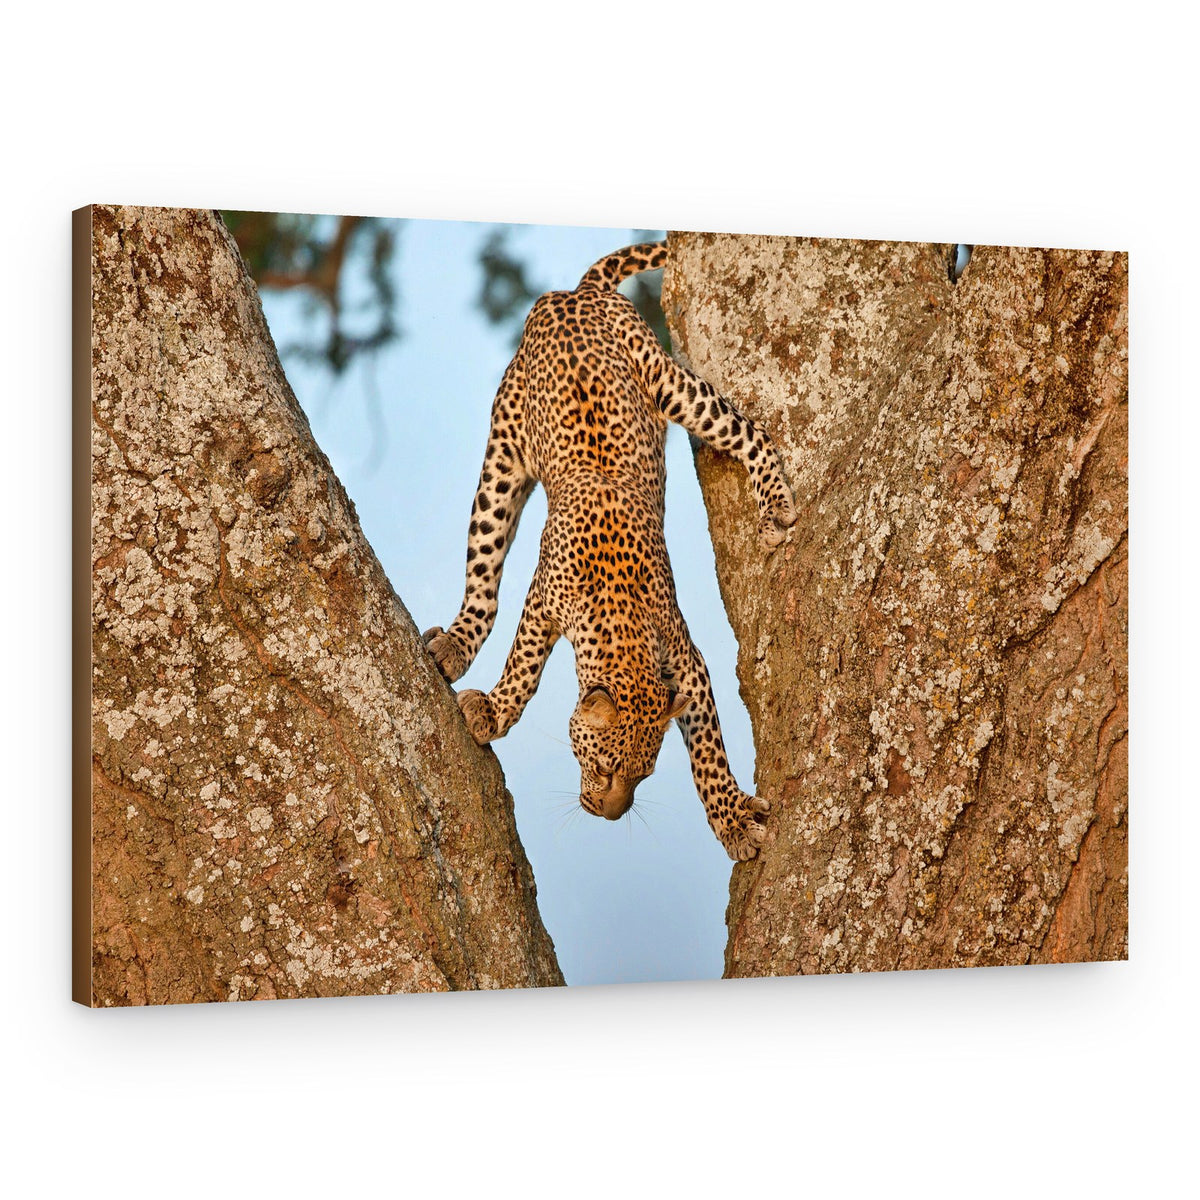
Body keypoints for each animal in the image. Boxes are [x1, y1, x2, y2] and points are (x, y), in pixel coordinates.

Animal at [422, 241, 797, 860]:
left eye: (643, 776)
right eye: (602, 766)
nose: (610, 814)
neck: (619, 619)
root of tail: (574, 292)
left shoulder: (688, 664)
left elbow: (709, 754)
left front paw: (733, 818)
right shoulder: (543, 601)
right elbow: (524, 667)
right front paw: (494, 712)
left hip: (667, 381)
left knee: (750, 431)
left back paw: (776, 504)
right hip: (502, 457)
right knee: (483, 576)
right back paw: (456, 642)